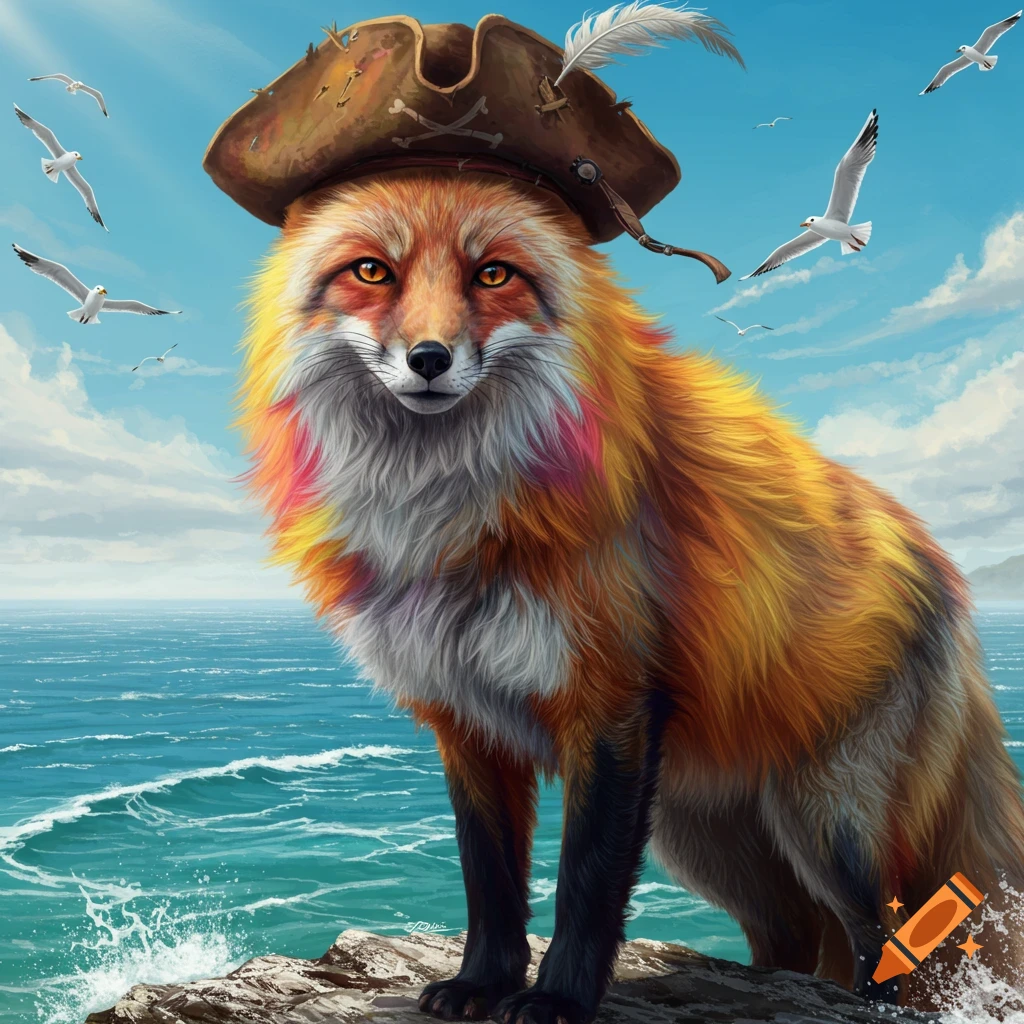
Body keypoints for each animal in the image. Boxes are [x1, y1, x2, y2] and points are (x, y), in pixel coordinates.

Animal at [236, 169, 1024, 1022]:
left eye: (493, 274)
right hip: (705, 835)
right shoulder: (466, 720)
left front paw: (558, 999)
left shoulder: (607, 705)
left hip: (828, 824)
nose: (430, 358)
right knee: (792, 935)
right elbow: (489, 879)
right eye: (372, 271)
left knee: (889, 932)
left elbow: (585, 883)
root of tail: (939, 559)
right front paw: (482, 983)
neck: (450, 520)